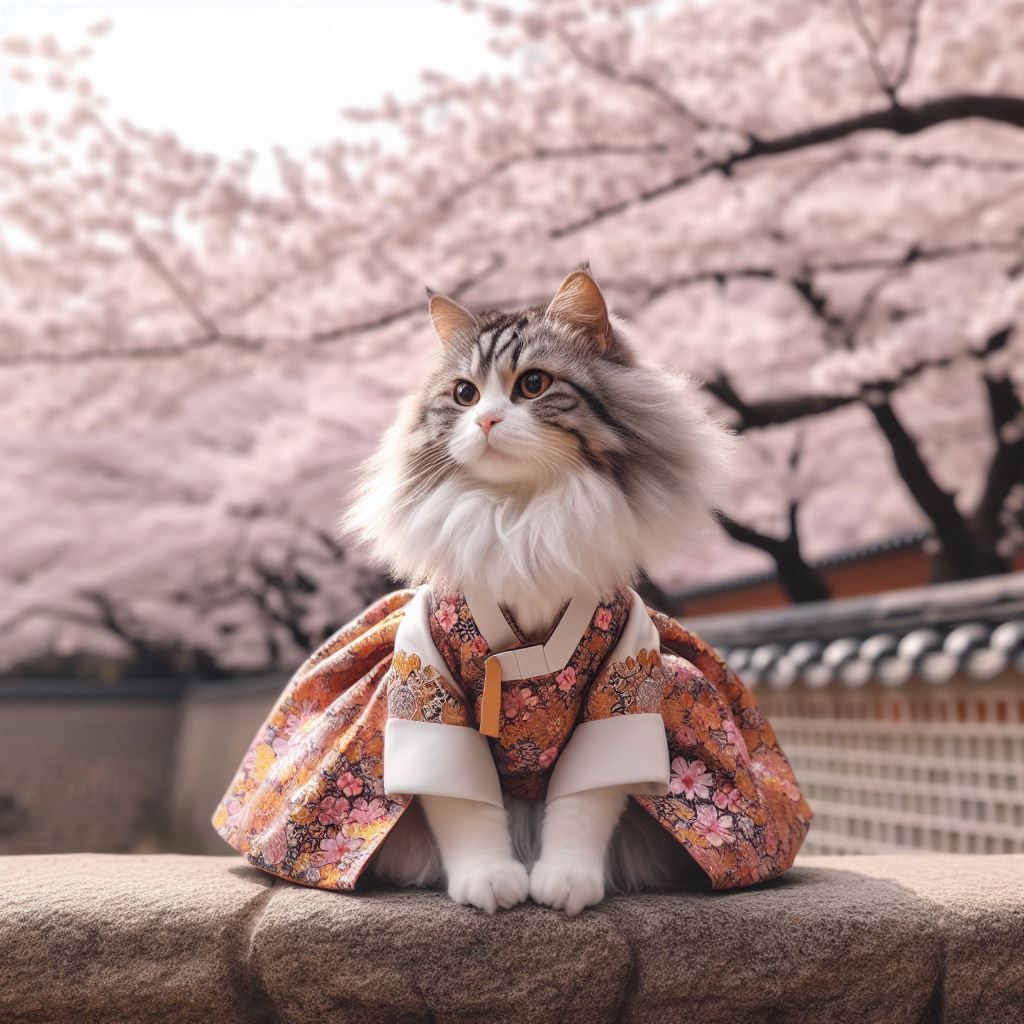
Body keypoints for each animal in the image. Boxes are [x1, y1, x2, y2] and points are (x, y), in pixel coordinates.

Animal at [344, 268, 737, 917]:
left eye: (532, 384)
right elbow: (466, 809)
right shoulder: (427, 688)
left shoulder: (623, 683)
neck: (521, 519)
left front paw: (565, 884)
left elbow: (583, 806)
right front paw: (490, 884)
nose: (485, 421)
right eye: (464, 395)